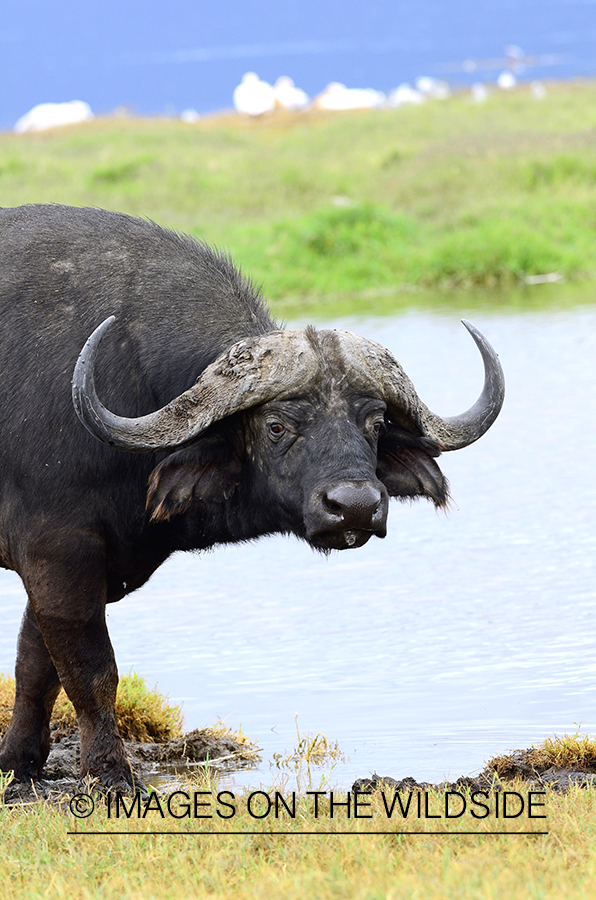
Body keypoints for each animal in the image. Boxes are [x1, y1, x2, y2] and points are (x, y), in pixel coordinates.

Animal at [0, 206, 506, 788]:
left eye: (376, 423)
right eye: (277, 426)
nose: (355, 505)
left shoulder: (87, 565)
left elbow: (35, 667)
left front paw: (18, 767)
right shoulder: (58, 552)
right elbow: (91, 670)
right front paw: (111, 776)